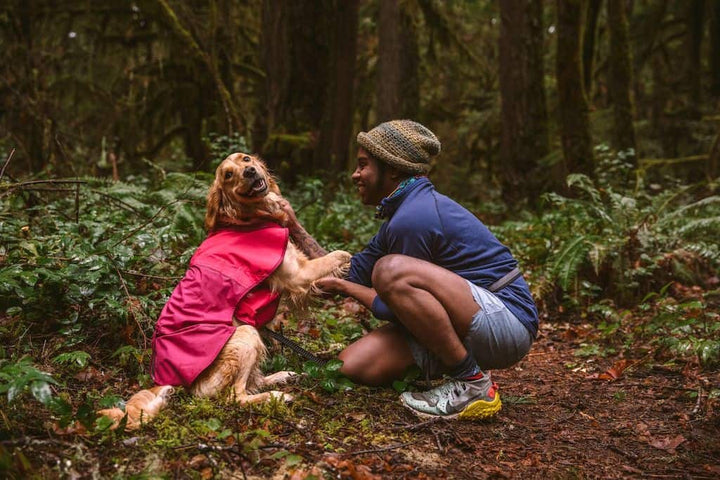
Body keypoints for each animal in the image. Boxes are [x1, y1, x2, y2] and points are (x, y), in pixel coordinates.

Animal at [97, 152, 352, 430]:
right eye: (228, 175)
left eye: (246, 159)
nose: (250, 172)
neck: (246, 219)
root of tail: (172, 380)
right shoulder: (298, 273)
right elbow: (338, 255)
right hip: (245, 334)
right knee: (236, 395)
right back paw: (276, 395)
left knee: (252, 382)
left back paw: (282, 376)